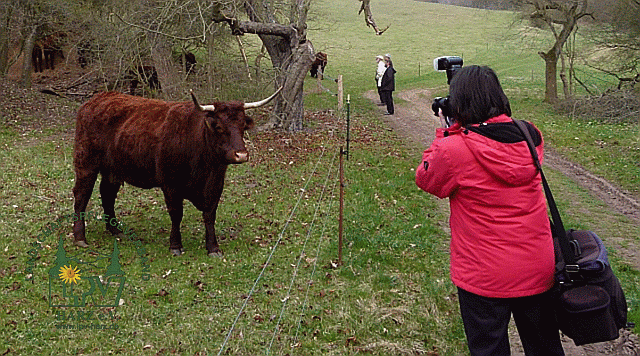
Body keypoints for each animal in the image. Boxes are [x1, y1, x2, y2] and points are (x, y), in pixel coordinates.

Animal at [72, 88, 280, 258]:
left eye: (242, 127)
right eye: (220, 127)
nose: (241, 154)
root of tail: (97, 99)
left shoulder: (215, 185)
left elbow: (210, 215)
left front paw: (213, 247)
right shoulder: (171, 185)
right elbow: (176, 214)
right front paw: (175, 245)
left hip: (113, 169)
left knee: (107, 194)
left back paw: (115, 230)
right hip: (86, 164)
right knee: (81, 196)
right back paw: (80, 237)